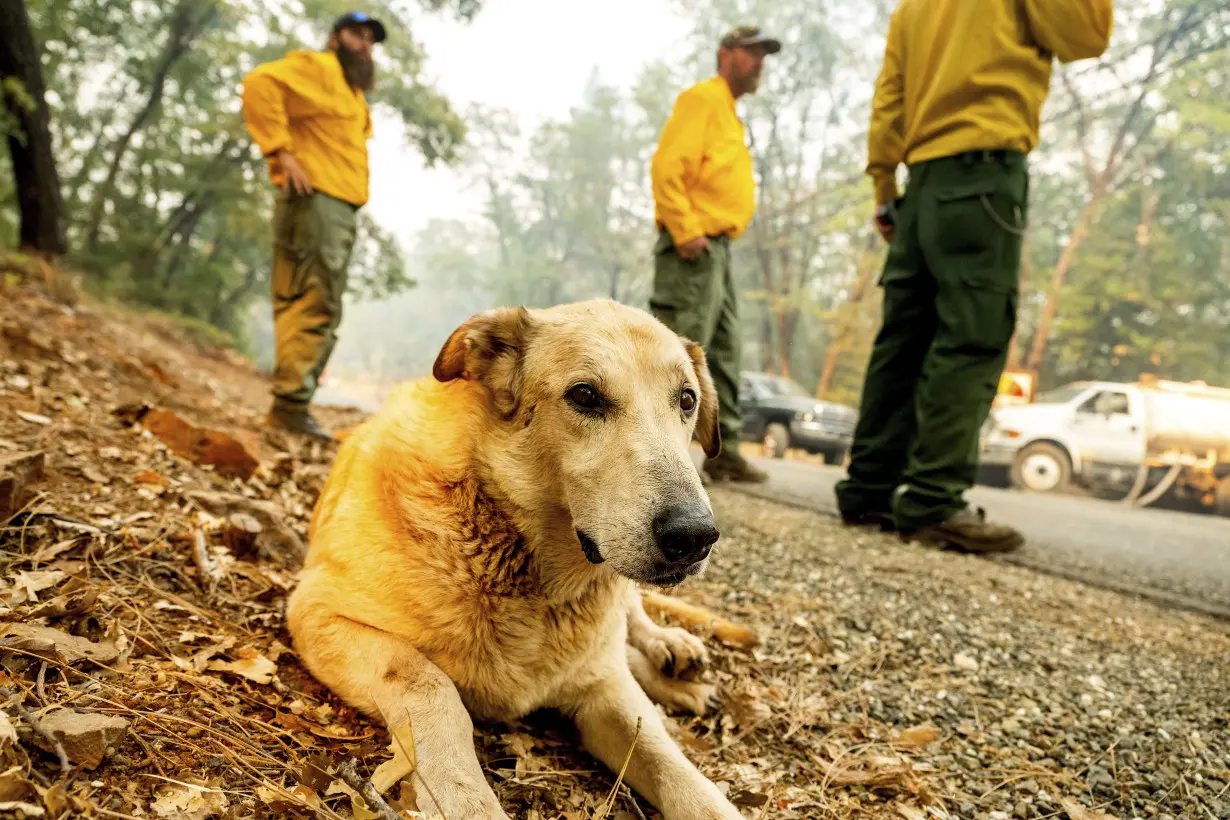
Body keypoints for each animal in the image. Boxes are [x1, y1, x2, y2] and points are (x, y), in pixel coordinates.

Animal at [286, 301, 742, 820]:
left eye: (686, 400)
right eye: (584, 395)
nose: (695, 536)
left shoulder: (610, 693)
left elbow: (673, 764)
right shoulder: (319, 613)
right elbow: (431, 685)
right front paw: (468, 798)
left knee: (631, 626)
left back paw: (673, 654)